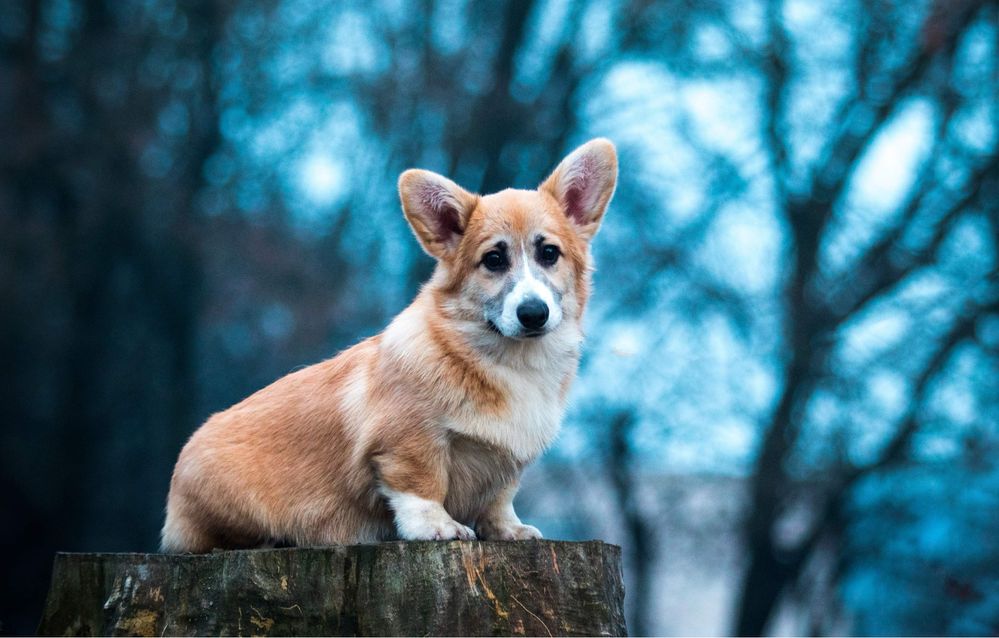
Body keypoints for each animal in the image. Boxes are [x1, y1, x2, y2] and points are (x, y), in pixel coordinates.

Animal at [162, 140, 616, 556]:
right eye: (493, 260)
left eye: (549, 253)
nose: (533, 313)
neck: (504, 358)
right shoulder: (408, 440)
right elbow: (422, 486)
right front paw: (438, 527)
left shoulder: (507, 461)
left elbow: (499, 500)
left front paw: (509, 530)